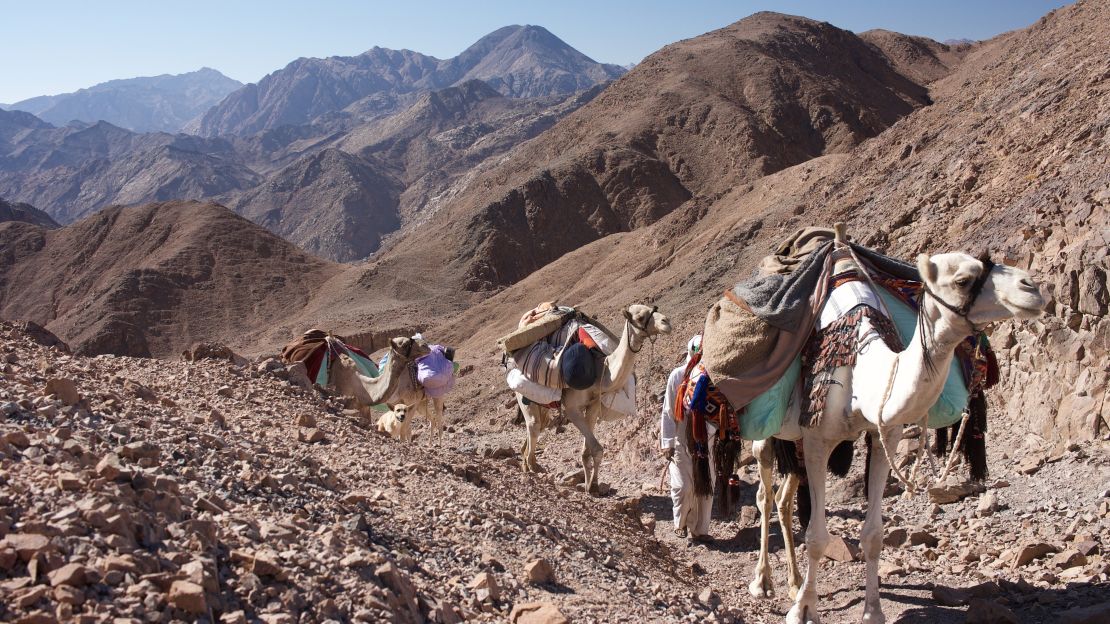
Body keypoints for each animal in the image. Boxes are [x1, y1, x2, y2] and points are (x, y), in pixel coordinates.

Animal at [515, 304, 670, 492]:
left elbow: (589, 451)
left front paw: (592, 484)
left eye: (654, 308)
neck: (600, 371)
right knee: (534, 425)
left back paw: (526, 464)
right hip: (523, 393)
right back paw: (532, 466)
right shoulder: (572, 408)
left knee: (539, 425)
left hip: (544, 404)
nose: (666, 322)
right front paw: (592, 485)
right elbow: (596, 448)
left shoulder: (593, 406)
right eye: (640, 317)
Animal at [745, 248, 1047, 621]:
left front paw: (872, 611)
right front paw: (803, 611)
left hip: (793, 440)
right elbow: (816, 536)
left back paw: (794, 582)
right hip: (768, 432)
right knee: (764, 493)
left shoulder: (883, 434)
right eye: (962, 280)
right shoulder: (817, 439)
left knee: (784, 500)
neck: (862, 372)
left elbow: (874, 535)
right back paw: (763, 582)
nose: (1032, 288)